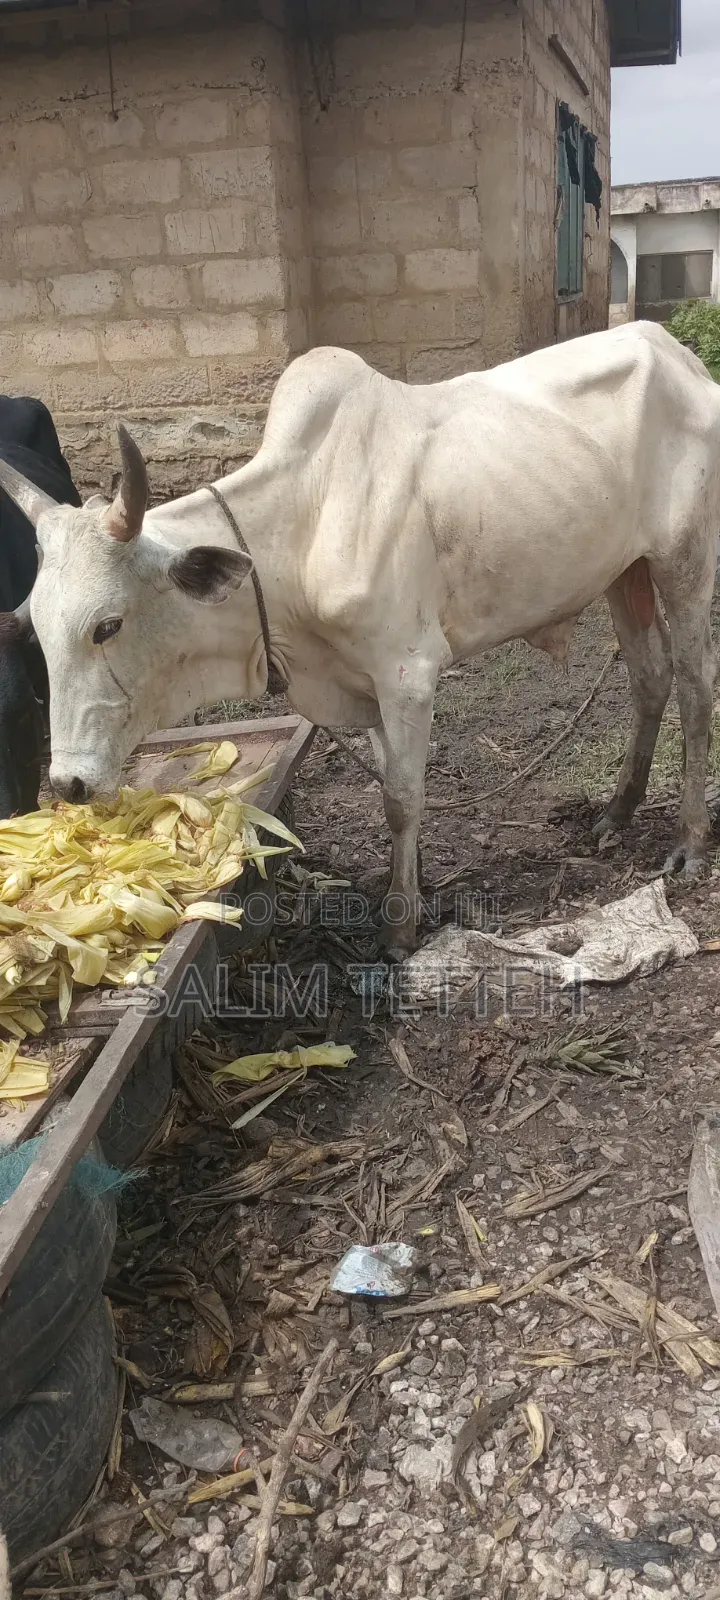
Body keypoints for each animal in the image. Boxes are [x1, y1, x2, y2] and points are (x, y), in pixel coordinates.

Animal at [0, 320, 717, 958]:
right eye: (34, 631)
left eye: (107, 625)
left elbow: (402, 797)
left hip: (684, 562)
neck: (301, 530)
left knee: (693, 686)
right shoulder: (363, 682)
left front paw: (400, 927)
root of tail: (677, 354)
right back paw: (617, 811)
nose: (67, 783)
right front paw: (416, 884)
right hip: (625, 572)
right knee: (649, 676)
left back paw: (688, 843)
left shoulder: (409, 673)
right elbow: (391, 789)